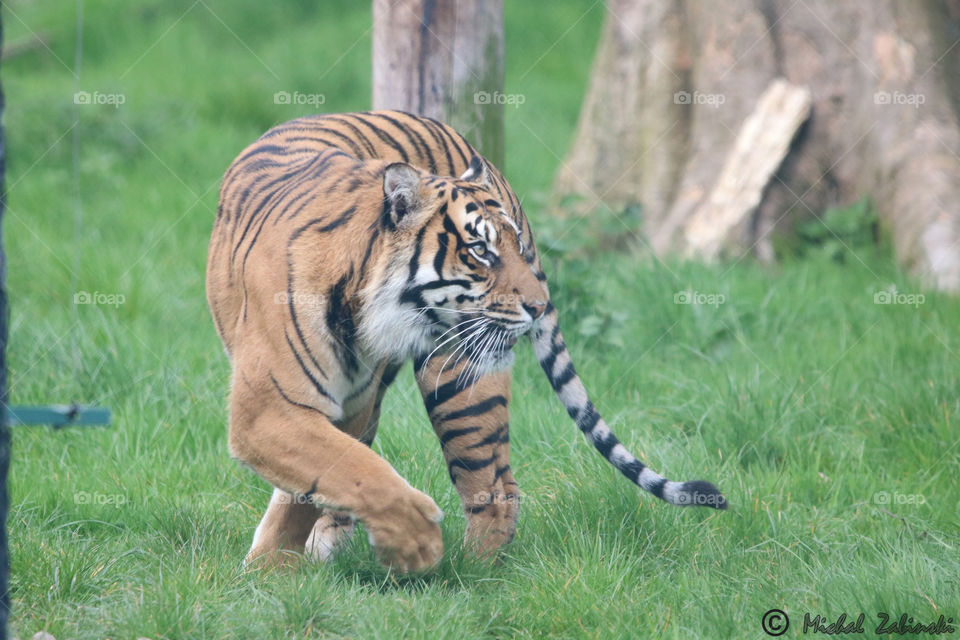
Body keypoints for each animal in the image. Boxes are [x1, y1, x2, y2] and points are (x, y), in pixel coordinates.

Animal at [206, 110, 726, 573]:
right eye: (481, 250)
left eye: (514, 247)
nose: (539, 305)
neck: (359, 305)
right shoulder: (277, 408)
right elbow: (338, 476)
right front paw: (273, 571)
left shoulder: (323, 408)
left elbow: (346, 474)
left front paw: (413, 548)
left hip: (461, 371)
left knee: (497, 487)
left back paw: (469, 577)